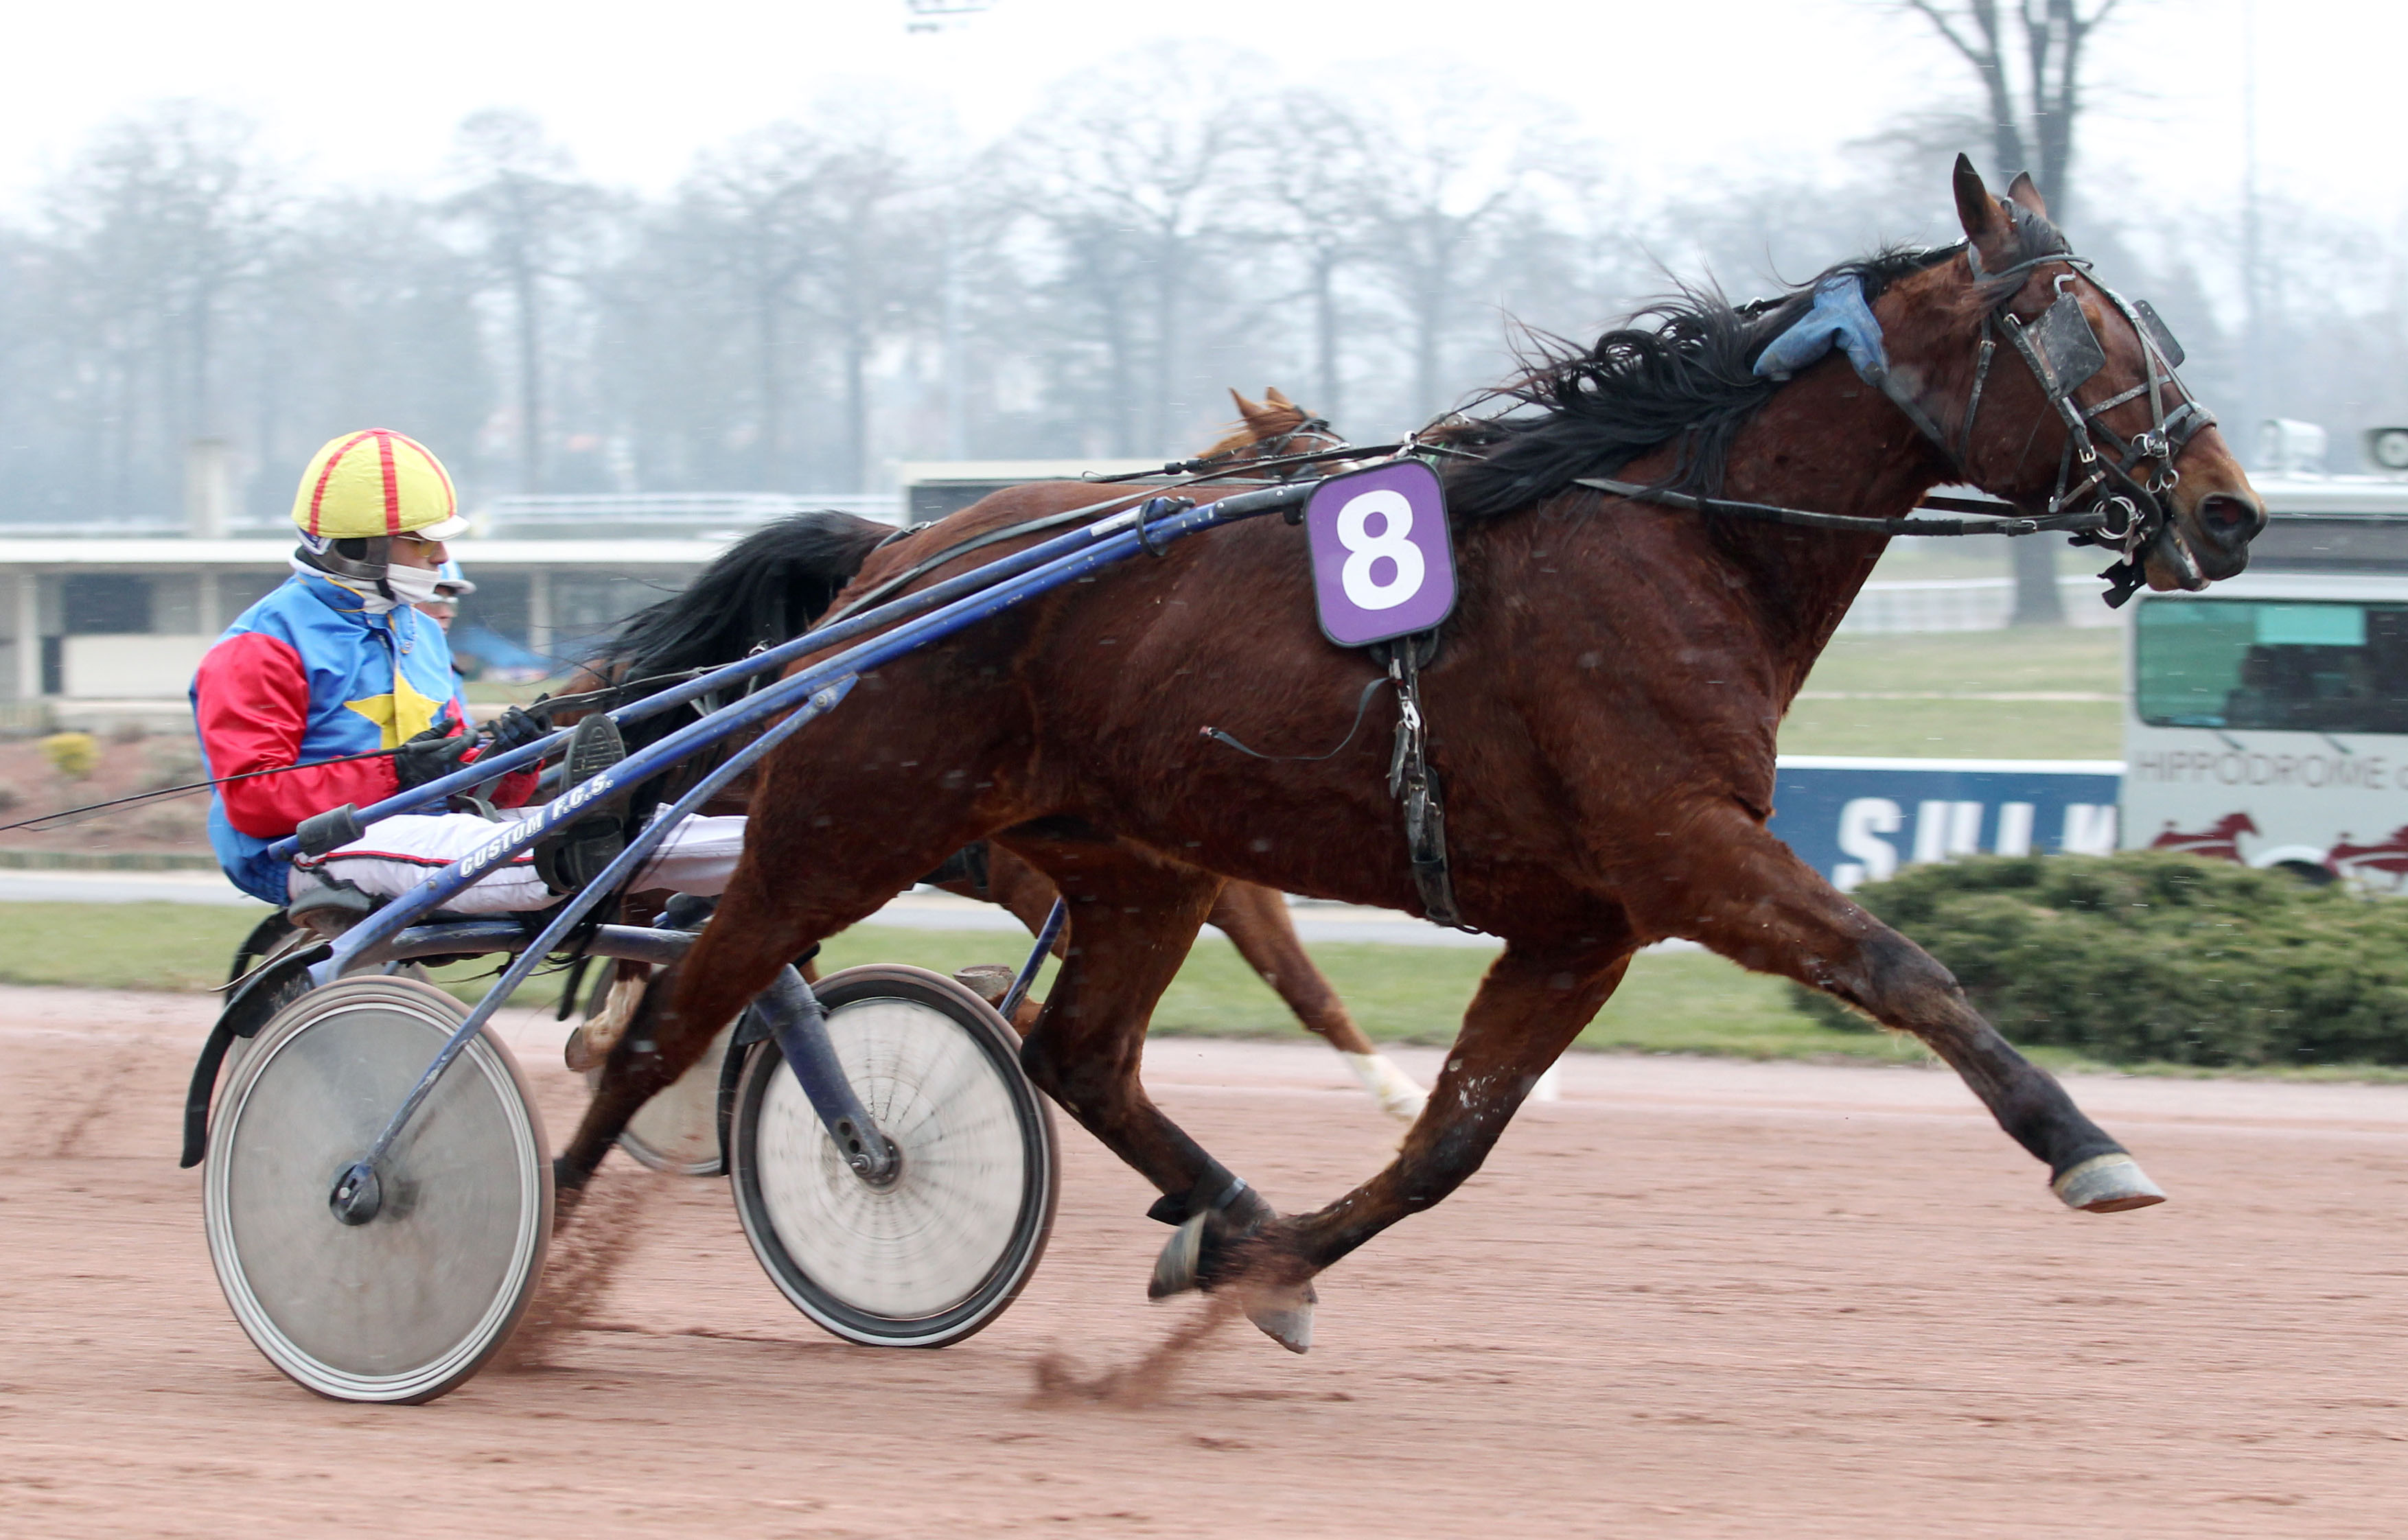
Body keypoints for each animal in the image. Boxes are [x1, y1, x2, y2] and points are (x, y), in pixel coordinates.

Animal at [563, 390, 1425, 1116]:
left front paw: (1399, 1094)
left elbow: (1306, 987)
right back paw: (611, 1019)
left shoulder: (1225, 870)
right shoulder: (1043, 872)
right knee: (641, 887)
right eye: (1313, 468)